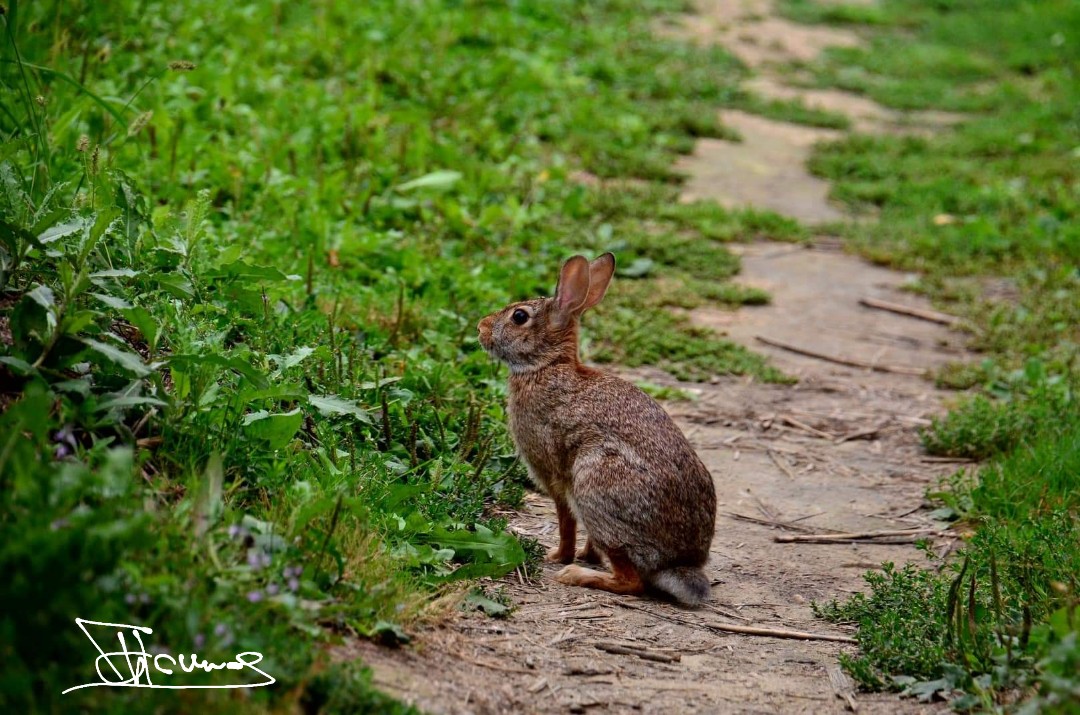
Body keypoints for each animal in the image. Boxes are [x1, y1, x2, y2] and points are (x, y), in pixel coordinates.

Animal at [476, 253, 717, 606]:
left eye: (519, 316)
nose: (480, 327)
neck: (546, 366)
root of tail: (679, 563)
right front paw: (586, 555)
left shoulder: (556, 476)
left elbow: (565, 520)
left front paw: (557, 556)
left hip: (596, 485)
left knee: (631, 581)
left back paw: (575, 575)